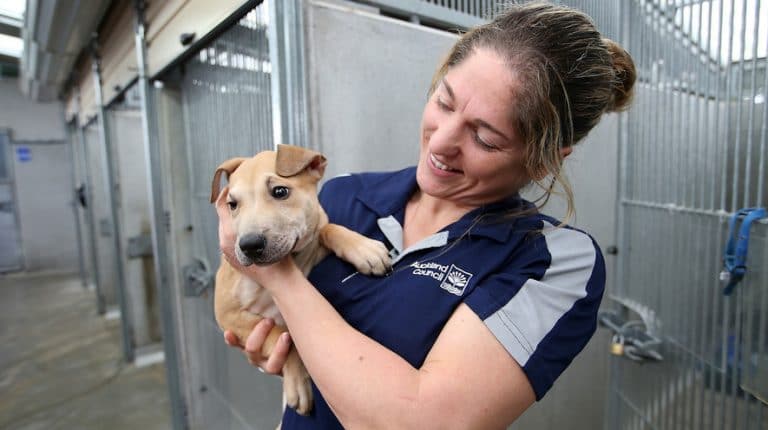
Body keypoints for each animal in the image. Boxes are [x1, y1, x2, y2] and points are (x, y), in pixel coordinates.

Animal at [210, 144, 390, 416]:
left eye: (280, 191)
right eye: (232, 204)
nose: (249, 245)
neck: (291, 259)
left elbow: (327, 228)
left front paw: (363, 248)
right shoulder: (227, 314)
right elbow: (283, 336)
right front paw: (298, 383)